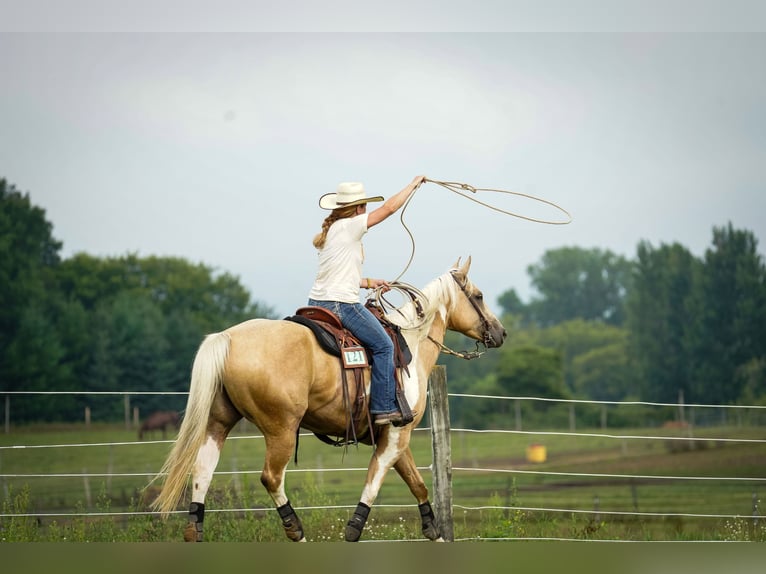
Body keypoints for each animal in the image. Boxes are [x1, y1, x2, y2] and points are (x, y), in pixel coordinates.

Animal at [149, 257, 506, 542]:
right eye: (478, 295)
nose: (500, 332)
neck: (411, 344)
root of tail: (228, 338)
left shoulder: (395, 436)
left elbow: (417, 484)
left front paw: (435, 533)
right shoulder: (395, 436)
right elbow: (373, 482)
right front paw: (354, 528)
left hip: (218, 423)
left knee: (202, 471)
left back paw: (194, 531)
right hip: (280, 430)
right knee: (271, 478)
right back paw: (296, 531)